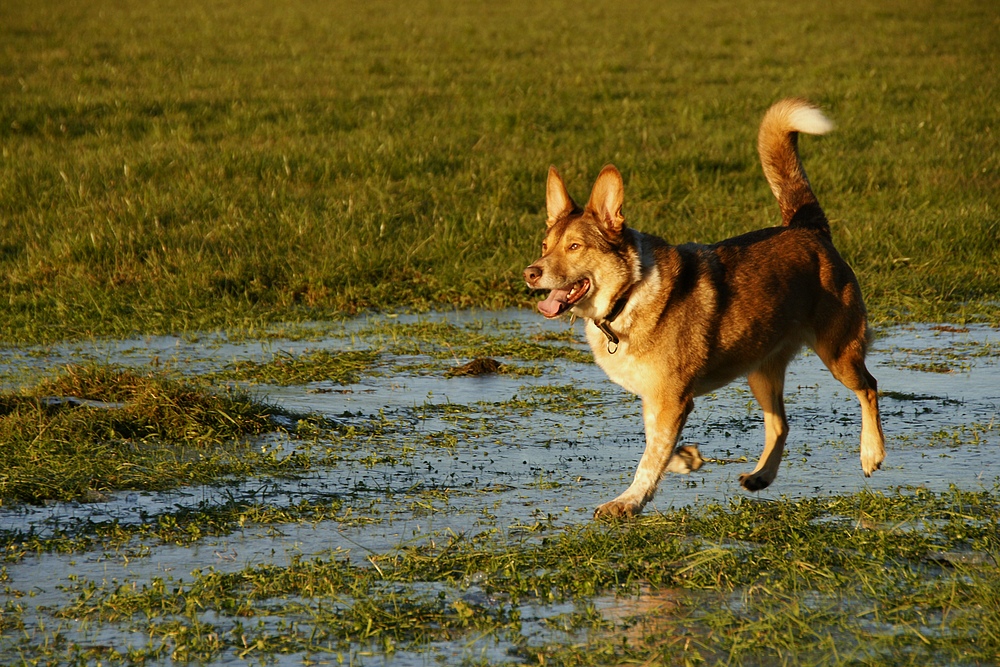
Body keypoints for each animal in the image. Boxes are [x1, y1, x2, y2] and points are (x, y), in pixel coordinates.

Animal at [524, 96, 884, 520]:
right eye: (545, 246)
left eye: (575, 247)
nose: (530, 273)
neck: (628, 295)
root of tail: (807, 229)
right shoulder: (659, 401)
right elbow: (659, 448)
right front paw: (686, 458)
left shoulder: (671, 399)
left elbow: (649, 459)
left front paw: (627, 501)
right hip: (759, 370)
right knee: (780, 423)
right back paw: (761, 476)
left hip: (838, 352)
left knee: (869, 387)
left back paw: (871, 453)